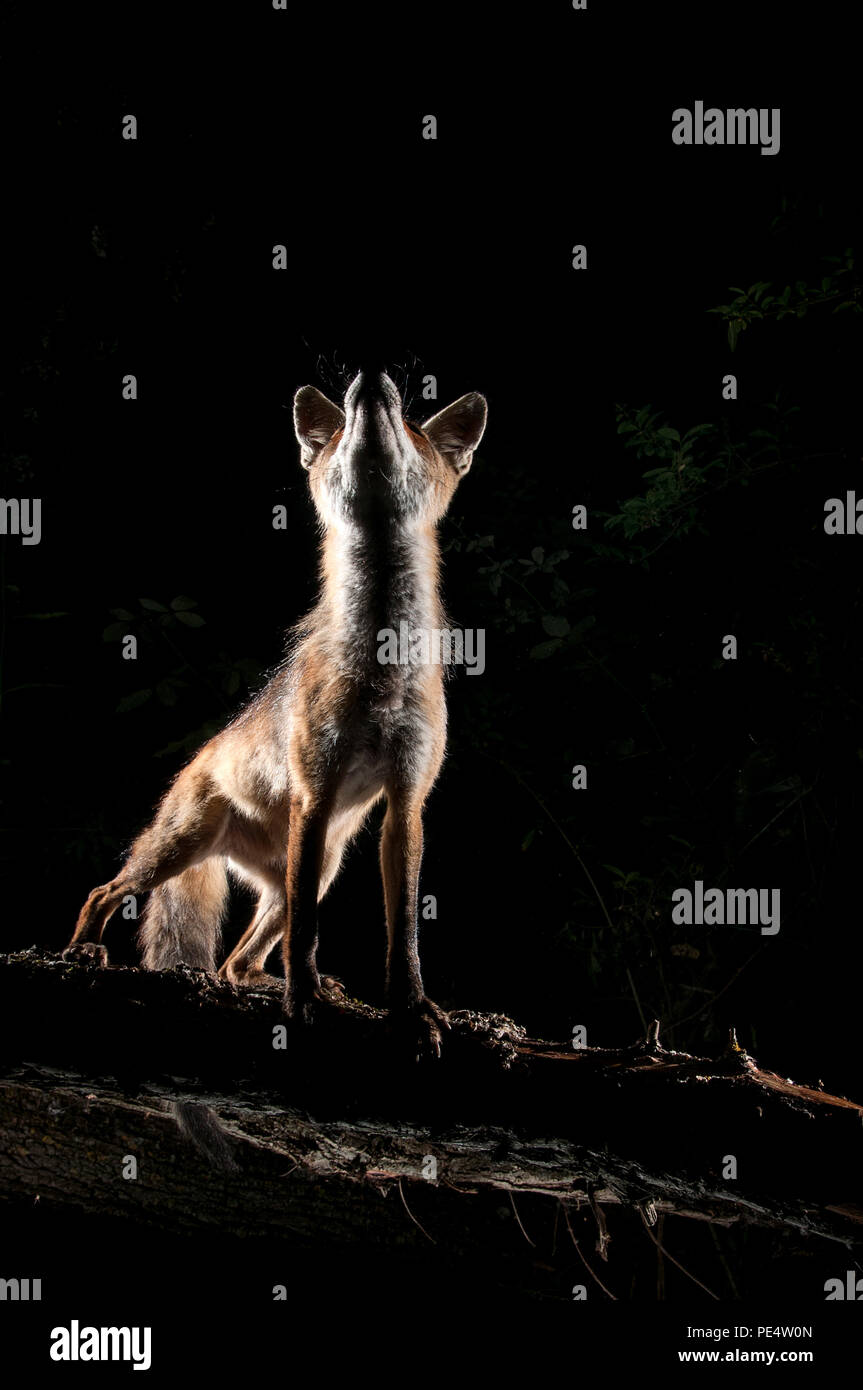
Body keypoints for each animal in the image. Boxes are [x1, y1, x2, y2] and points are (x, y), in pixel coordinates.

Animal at [62, 369, 483, 1050]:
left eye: (413, 428)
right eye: (335, 433)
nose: (370, 377)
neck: (380, 674)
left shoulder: (406, 800)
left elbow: (404, 936)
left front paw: (411, 1009)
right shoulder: (315, 793)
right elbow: (309, 937)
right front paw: (303, 1000)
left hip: (310, 872)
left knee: (237, 962)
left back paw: (268, 984)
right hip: (185, 847)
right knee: (106, 892)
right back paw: (80, 951)